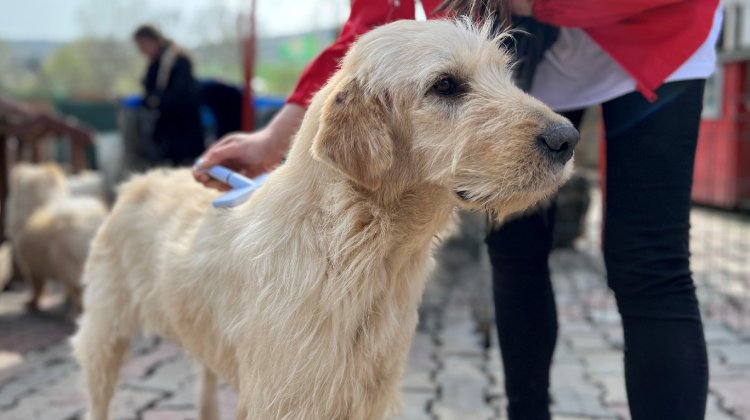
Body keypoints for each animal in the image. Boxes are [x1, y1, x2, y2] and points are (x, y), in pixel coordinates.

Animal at [5, 162, 108, 316]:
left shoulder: (30, 266)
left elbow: (37, 287)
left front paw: (32, 303)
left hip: (65, 264)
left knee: (79, 293)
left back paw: (72, 315)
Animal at [73, 19, 580, 420]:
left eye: (504, 74)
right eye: (446, 85)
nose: (567, 138)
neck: (354, 243)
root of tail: (139, 179)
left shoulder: (370, 391)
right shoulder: (290, 397)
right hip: (103, 338)